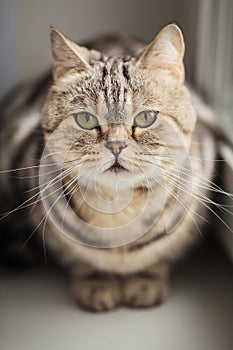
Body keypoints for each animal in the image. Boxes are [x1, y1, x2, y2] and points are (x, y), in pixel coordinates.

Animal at [0, 23, 232, 310]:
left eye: (145, 117)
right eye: (86, 119)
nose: (116, 145)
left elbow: (161, 256)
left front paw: (145, 280)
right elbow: (78, 258)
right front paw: (96, 281)